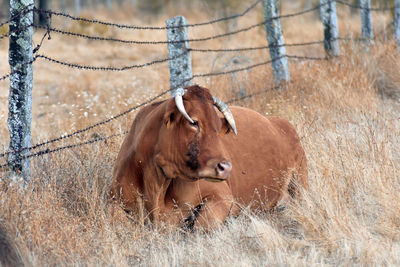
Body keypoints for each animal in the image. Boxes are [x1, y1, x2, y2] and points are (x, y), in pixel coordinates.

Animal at [111, 86, 308, 230]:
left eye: (217, 127)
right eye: (193, 122)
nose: (225, 168)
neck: (156, 185)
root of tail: (278, 121)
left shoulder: (223, 197)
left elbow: (200, 227)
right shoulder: (114, 200)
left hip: (300, 181)